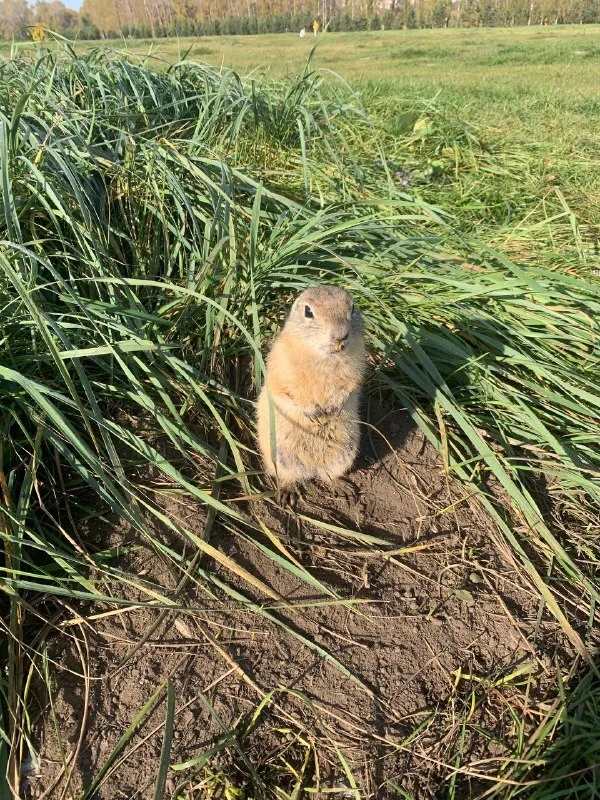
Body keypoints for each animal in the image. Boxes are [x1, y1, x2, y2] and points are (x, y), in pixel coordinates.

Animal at [256, 284, 366, 504]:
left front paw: (334, 407)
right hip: (281, 454)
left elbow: (350, 385)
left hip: (345, 451)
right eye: (308, 312)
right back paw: (287, 493)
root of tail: (312, 468)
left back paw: (344, 490)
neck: (323, 356)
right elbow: (285, 389)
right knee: (289, 476)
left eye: (352, 307)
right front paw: (313, 413)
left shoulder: (357, 364)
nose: (340, 335)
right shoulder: (281, 362)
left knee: (329, 475)